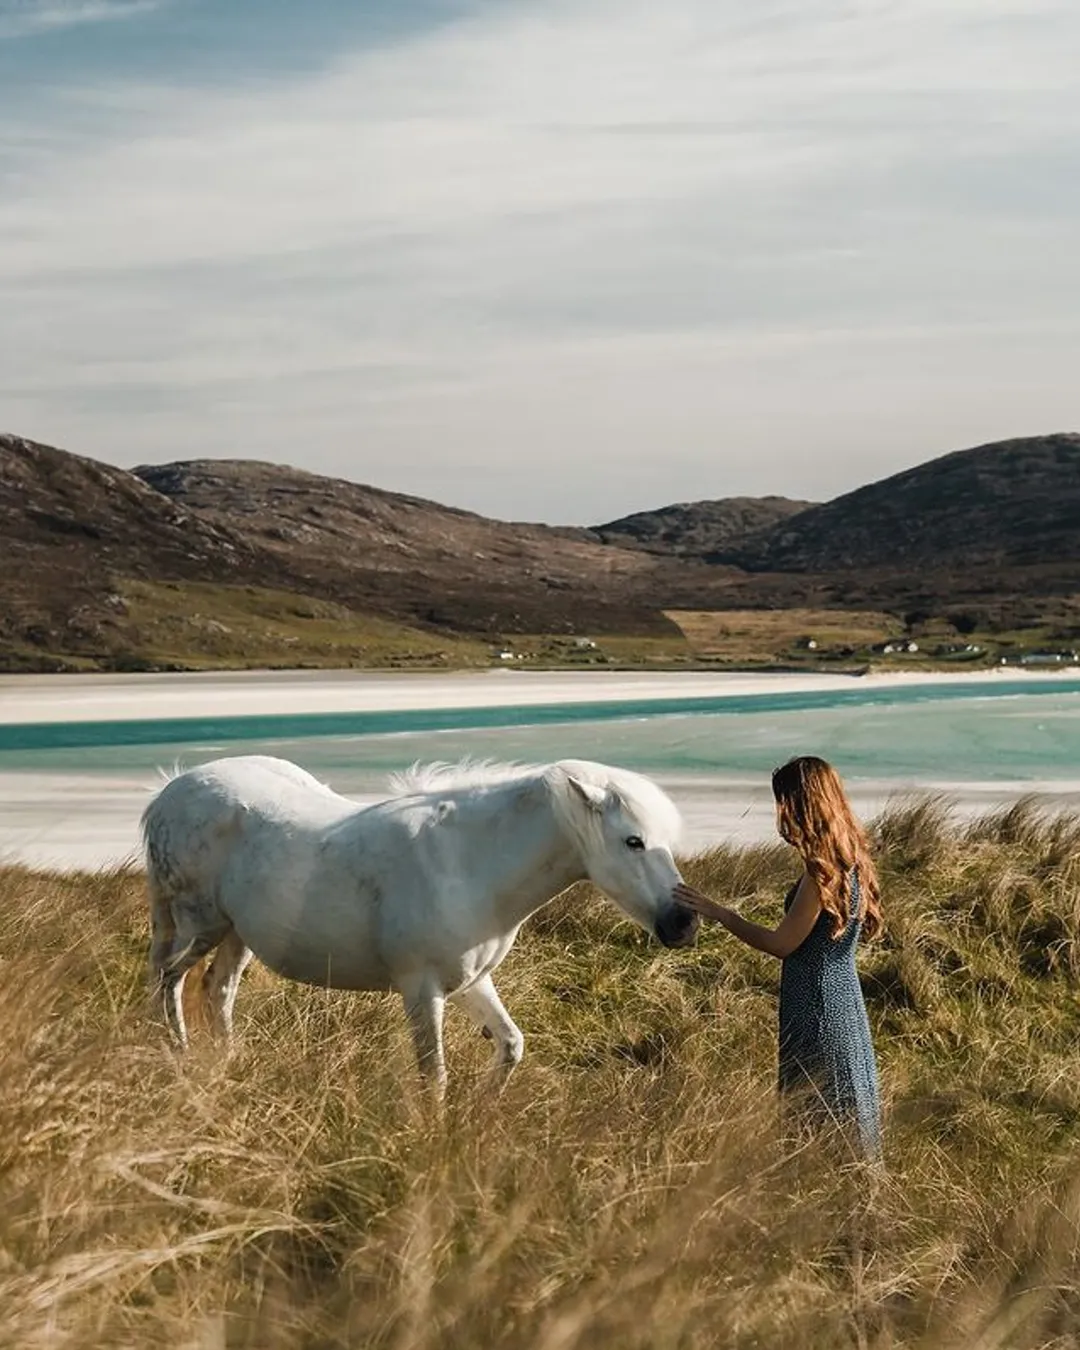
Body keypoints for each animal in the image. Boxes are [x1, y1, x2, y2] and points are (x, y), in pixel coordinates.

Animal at [143, 756, 696, 1090]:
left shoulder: (472, 981)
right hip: (198, 925)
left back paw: (227, 1062)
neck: (468, 862)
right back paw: (182, 1055)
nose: (683, 924)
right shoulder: (421, 989)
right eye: (633, 842)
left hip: (236, 933)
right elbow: (435, 1075)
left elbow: (511, 1045)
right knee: (170, 980)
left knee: (217, 990)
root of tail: (171, 791)